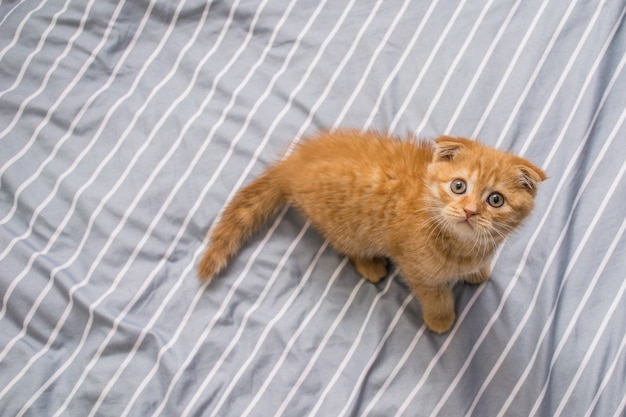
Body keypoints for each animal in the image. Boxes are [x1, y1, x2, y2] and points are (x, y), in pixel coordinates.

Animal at [197, 128, 544, 334]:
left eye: (495, 200)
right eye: (458, 186)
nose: (470, 211)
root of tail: (293, 165)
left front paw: (477, 272)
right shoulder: (414, 267)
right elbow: (435, 294)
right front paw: (440, 318)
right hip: (346, 227)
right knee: (345, 246)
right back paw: (369, 265)